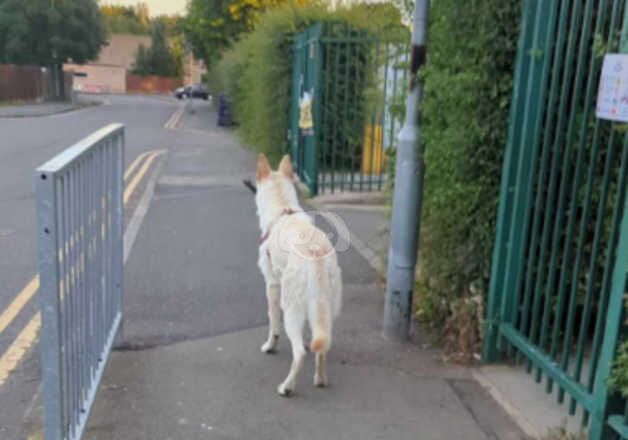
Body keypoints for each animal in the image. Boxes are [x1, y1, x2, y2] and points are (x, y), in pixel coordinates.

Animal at [255, 154, 344, 396]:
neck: (283, 211)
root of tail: (315, 252)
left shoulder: (272, 286)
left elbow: (273, 324)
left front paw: (270, 346)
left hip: (291, 307)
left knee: (300, 353)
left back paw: (287, 387)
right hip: (327, 308)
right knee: (322, 345)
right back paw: (320, 379)